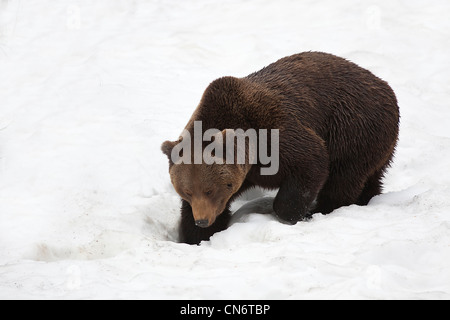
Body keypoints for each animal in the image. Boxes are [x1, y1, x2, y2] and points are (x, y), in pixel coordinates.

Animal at [160, 51, 400, 244]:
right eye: (186, 191)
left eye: (210, 189)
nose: (202, 220)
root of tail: (384, 85)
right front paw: (198, 236)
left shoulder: (274, 135)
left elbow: (311, 162)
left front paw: (290, 214)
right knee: (371, 177)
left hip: (353, 128)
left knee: (343, 179)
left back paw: (325, 208)